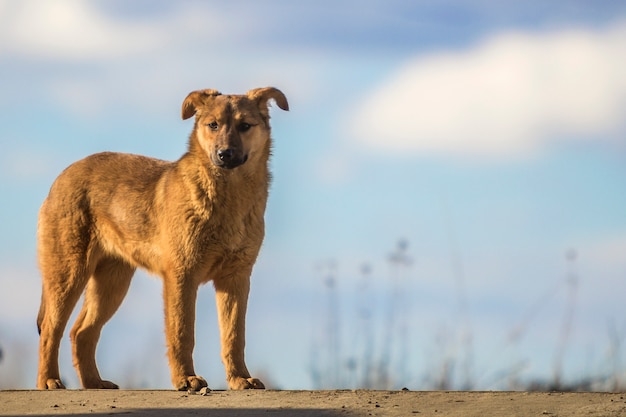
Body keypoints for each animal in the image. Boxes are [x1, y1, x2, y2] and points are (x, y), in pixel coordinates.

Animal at [34, 86, 288, 388]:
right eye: (213, 125)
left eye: (245, 126)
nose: (224, 154)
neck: (229, 197)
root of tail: (61, 176)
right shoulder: (182, 275)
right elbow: (182, 333)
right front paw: (187, 379)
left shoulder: (236, 279)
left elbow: (234, 336)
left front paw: (240, 379)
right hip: (69, 274)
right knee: (51, 329)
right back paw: (49, 381)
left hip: (111, 284)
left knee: (81, 331)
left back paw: (94, 383)